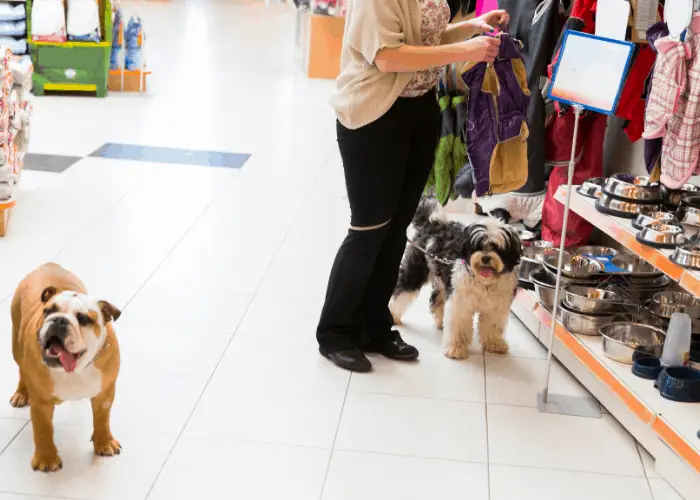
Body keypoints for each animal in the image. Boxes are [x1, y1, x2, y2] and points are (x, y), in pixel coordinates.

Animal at [392, 199, 524, 360]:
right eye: (477, 246)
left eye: (497, 248)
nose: (486, 258)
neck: (483, 282)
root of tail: (432, 223)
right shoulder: (461, 303)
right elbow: (459, 326)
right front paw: (456, 349)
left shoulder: (495, 307)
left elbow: (492, 326)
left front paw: (494, 344)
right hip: (416, 270)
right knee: (401, 292)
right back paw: (393, 315)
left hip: (443, 280)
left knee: (436, 300)